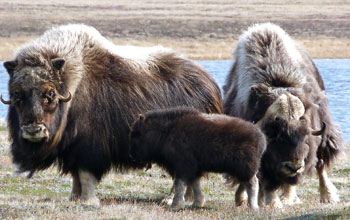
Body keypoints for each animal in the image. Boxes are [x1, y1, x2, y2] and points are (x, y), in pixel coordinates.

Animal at [130, 107, 266, 211]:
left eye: (137, 134)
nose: (132, 156)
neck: (166, 131)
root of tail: (261, 138)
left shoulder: (183, 166)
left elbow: (180, 185)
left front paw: (175, 206)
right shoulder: (194, 169)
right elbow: (195, 184)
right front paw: (197, 203)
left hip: (245, 167)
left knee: (252, 183)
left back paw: (253, 207)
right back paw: (242, 201)